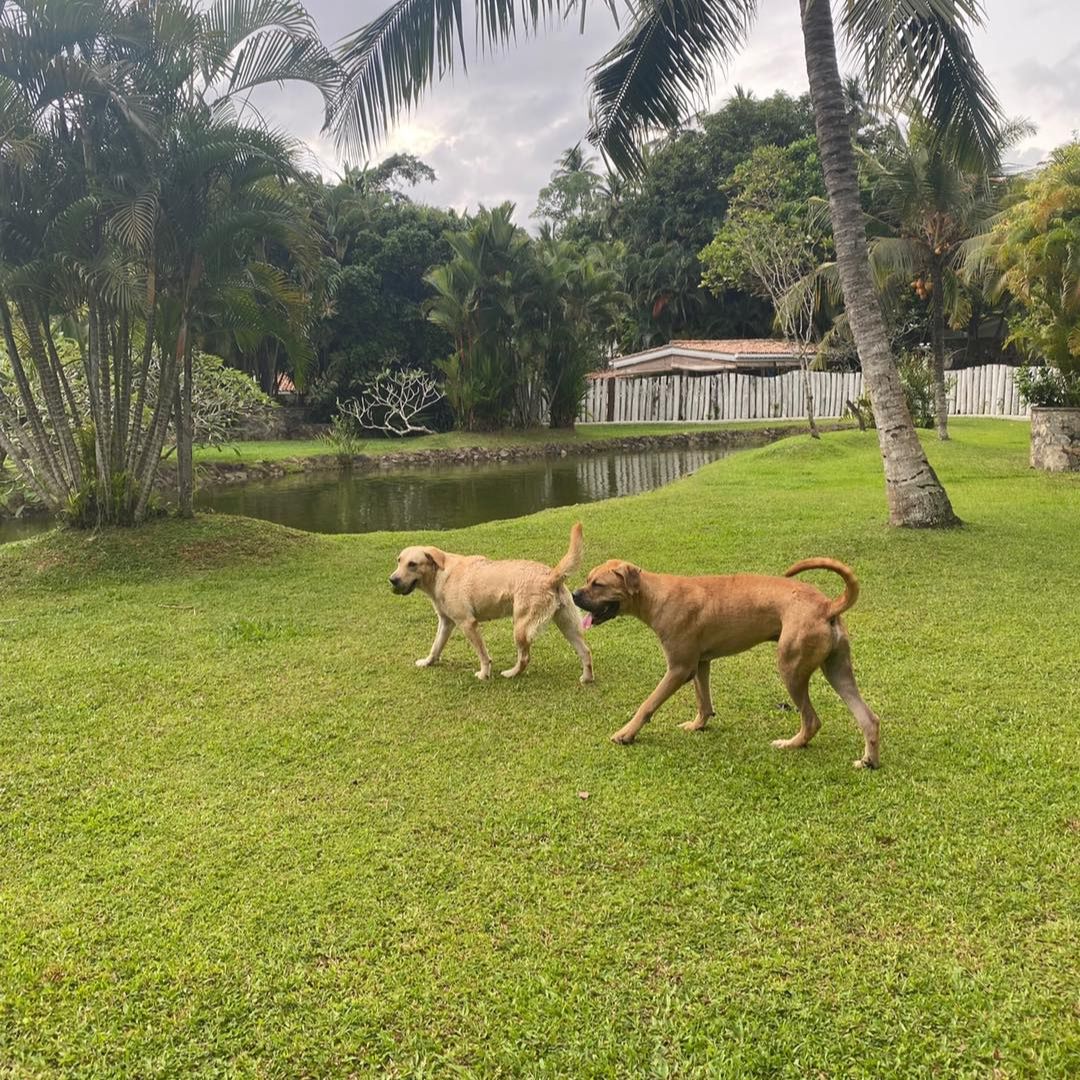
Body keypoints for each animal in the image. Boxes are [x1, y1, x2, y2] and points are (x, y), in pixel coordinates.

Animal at [388, 522, 591, 682]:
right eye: (399, 561)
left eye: (412, 564)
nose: (392, 580)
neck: (441, 573)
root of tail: (551, 575)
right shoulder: (446, 623)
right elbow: (436, 646)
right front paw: (427, 662)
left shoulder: (468, 623)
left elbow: (483, 655)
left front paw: (484, 674)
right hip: (568, 625)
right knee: (586, 651)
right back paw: (587, 678)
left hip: (521, 627)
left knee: (524, 658)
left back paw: (511, 673)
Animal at [570, 557, 881, 768]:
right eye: (587, 579)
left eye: (598, 584)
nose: (573, 594)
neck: (656, 595)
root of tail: (827, 605)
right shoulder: (700, 663)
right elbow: (703, 700)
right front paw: (698, 725)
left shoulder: (678, 668)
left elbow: (647, 705)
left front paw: (625, 734)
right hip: (837, 669)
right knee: (869, 718)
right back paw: (869, 761)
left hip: (791, 668)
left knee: (812, 720)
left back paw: (791, 744)